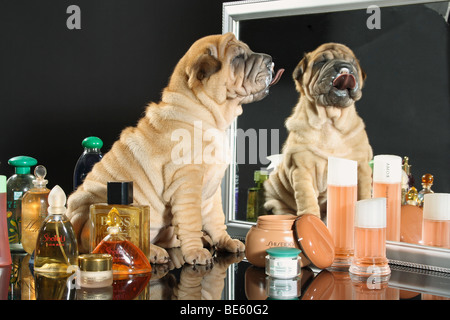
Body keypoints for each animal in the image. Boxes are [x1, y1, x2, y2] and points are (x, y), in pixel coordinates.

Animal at [66, 33, 284, 266]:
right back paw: (153, 252)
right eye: (238, 58)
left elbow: (216, 218)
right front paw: (196, 252)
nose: (271, 60)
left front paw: (224, 241)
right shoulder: (187, 183)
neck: (206, 113)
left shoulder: (212, 189)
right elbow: (191, 220)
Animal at [264, 43, 372, 220]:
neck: (329, 120)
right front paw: (310, 220)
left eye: (353, 63)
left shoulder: (361, 167)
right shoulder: (302, 168)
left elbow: (363, 194)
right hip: (274, 194)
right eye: (321, 62)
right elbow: (307, 199)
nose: (344, 67)